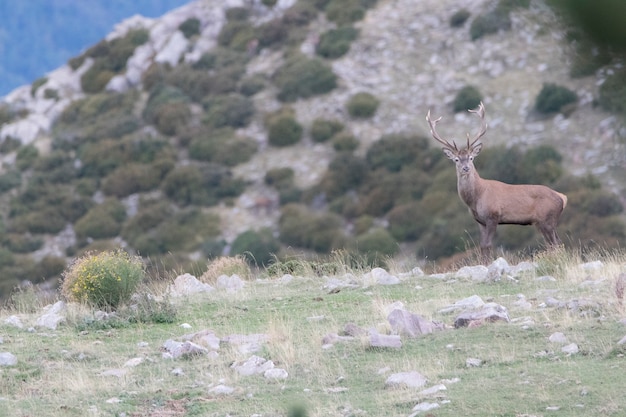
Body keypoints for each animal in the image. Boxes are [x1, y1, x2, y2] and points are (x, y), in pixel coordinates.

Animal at [424, 101, 564, 256]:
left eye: (471, 158)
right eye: (456, 159)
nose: (466, 168)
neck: (476, 198)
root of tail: (562, 198)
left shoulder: (493, 216)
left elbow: (488, 245)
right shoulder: (480, 221)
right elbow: (482, 246)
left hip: (547, 219)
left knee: (556, 243)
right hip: (544, 222)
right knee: (558, 242)